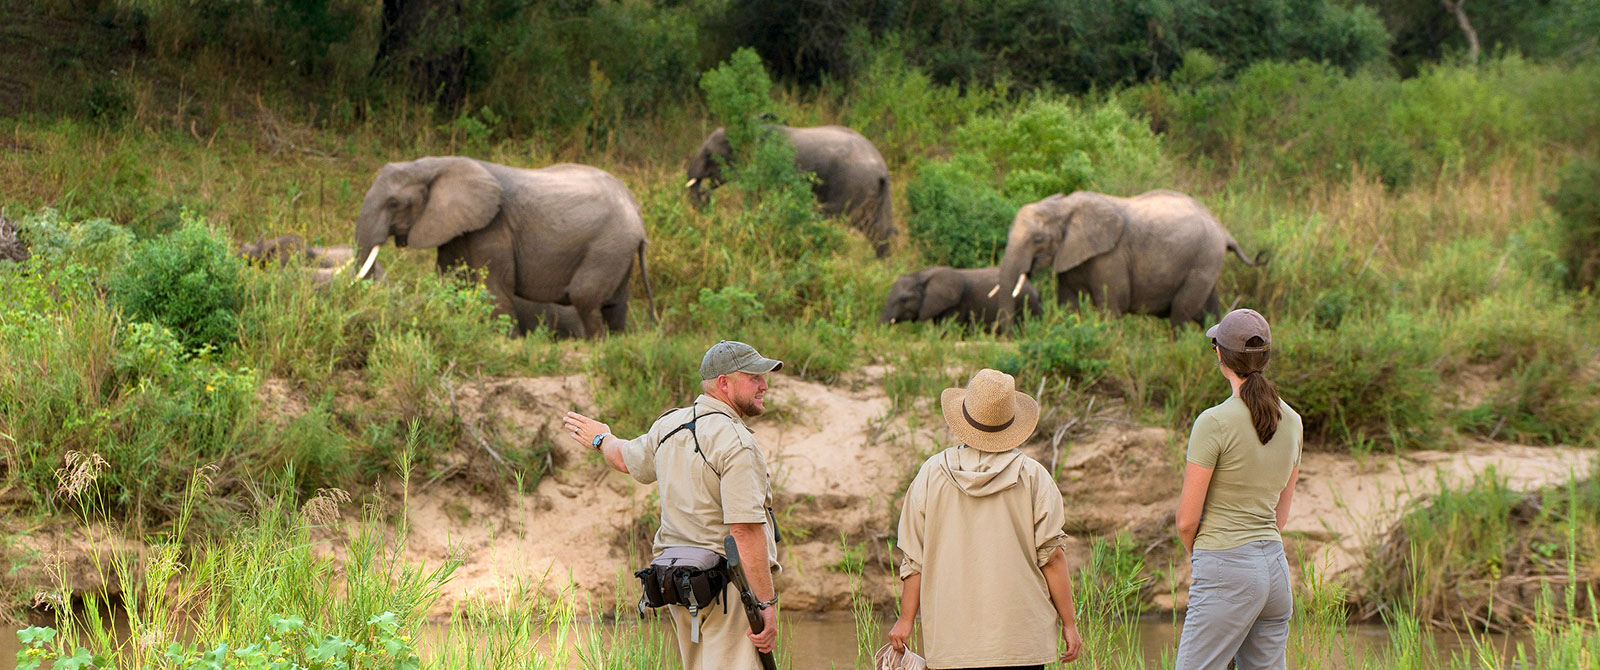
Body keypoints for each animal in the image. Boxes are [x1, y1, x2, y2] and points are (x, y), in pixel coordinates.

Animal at [353, 155, 652, 338]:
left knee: (585, 296)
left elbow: (494, 286)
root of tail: (637, 211)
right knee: (614, 304)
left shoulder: (494, 227)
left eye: (393, 203)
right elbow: (450, 278)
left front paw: (509, 342)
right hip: (618, 249)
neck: (435, 164)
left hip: (607, 246)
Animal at [998, 191, 1260, 331]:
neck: (1066, 206)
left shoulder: (1111, 257)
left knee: (1181, 315)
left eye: (1038, 239)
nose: (1009, 335)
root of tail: (1225, 232)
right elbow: (1068, 303)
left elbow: (1112, 306)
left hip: (1203, 261)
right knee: (1209, 312)